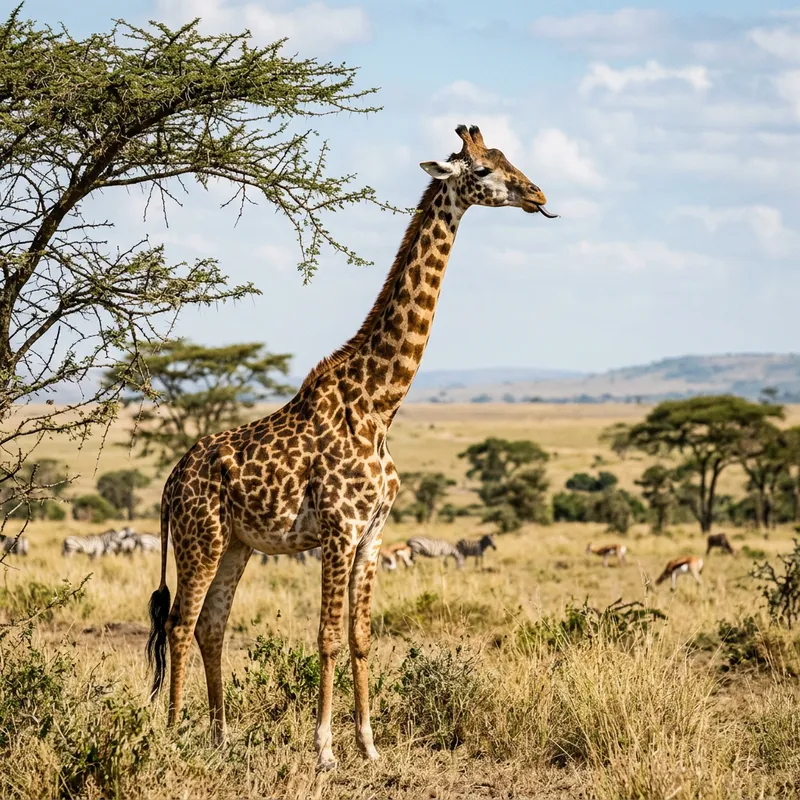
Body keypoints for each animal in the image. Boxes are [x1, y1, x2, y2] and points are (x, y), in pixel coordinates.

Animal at [146, 124, 555, 772]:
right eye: (484, 170)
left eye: (507, 156)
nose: (538, 194)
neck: (380, 405)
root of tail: (169, 483)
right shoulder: (338, 530)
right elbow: (328, 636)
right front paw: (324, 750)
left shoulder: (373, 534)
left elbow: (362, 637)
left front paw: (368, 745)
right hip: (199, 538)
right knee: (182, 624)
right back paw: (173, 735)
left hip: (237, 543)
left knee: (212, 624)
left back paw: (219, 736)